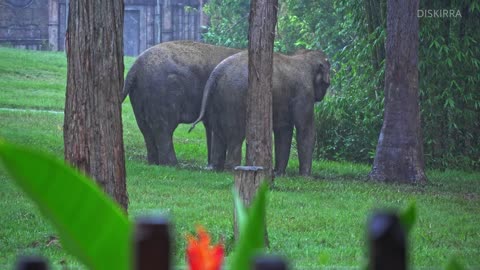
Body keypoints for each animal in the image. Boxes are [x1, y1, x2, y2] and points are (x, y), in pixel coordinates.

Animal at [188, 49, 330, 176]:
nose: (324, 94)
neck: (302, 57)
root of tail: (215, 74)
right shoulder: (304, 92)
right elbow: (305, 128)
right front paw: (306, 177)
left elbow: (283, 130)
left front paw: (278, 173)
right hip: (234, 100)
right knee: (236, 136)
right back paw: (232, 169)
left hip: (217, 101)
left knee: (218, 134)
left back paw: (216, 168)